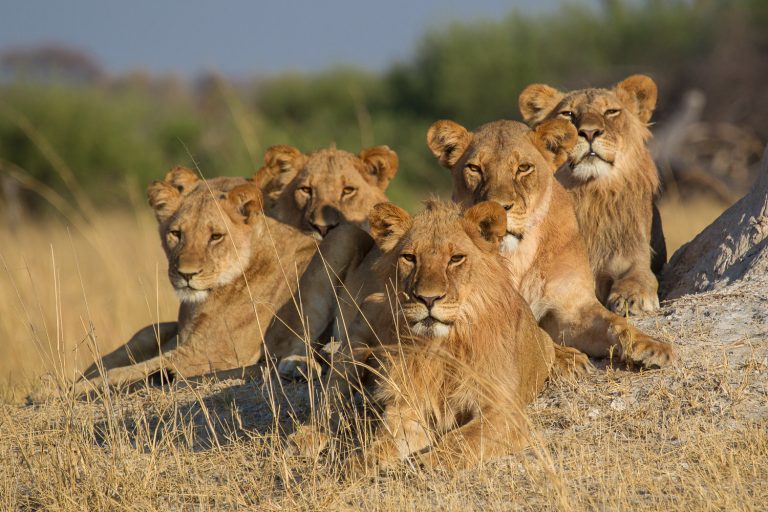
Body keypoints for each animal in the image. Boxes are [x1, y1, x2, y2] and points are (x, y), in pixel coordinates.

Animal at [62, 166, 368, 396]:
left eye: (215, 237)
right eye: (176, 234)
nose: (186, 274)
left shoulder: (205, 353)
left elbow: (121, 372)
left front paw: (69, 391)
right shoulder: (180, 339)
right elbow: (127, 352)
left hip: (344, 235)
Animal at [426, 118, 674, 368]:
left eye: (524, 168)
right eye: (474, 169)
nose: (497, 209)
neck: (517, 253)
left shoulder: (573, 307)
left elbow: (616, 323)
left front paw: (653, 346)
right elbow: (534, 338)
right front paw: (567, 359)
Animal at [518, 75, 665, 315]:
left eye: (611, 112)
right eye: (568, 114)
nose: (589, 132)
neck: (589, 193)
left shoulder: (633, 254)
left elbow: (639, 276)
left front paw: (630, 297)